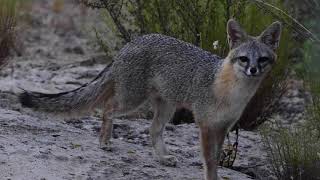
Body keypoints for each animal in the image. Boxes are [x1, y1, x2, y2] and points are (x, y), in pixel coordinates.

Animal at [20, 19, 282, 179]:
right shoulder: (206, 126)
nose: (253, 70)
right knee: (108, 108)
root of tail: (131, 43)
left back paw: (162, 157)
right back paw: (104, 142)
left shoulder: (223, 127)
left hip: (166, 108)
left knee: (152, 130)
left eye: (262, 59)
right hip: (132, 100)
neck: (233, 92)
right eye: (244, 59)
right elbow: (209, 162)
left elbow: (216, 159)